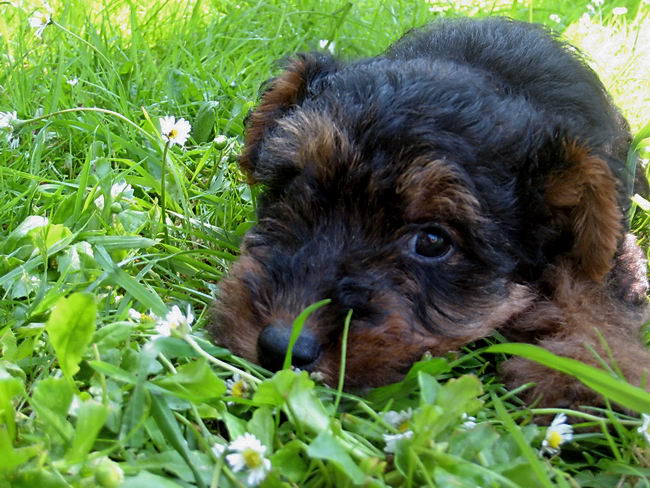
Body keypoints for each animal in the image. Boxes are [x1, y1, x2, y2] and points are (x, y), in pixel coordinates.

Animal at [210, 17, 644, 408]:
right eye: (291, 186)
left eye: (434, 241)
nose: (281, 347)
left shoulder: (609, 251)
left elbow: (594, 296)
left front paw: (590, 376)